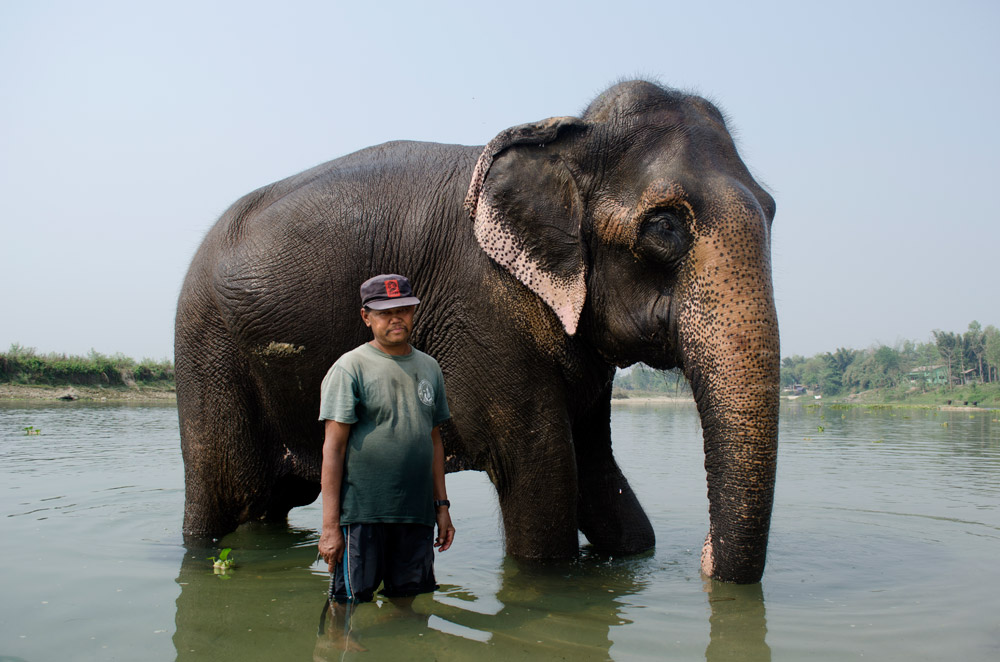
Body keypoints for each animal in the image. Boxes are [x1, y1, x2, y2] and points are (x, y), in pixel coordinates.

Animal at [178, 79, 780, 588]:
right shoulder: (482, 311)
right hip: (208, 352)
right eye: (664, 226)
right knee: (218, 496)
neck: (569, 139)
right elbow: (543, 478)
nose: (704, 559)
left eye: (773, 210)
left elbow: (600, 477)